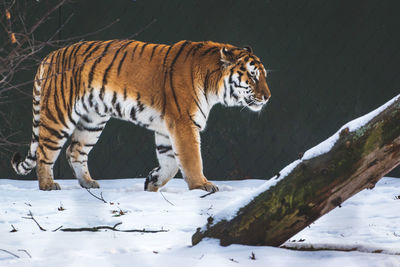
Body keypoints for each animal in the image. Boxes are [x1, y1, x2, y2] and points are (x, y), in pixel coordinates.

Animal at [10, 39, 270, 193]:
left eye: (263, 76)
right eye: (253, 76)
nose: (268, 97)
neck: (213, 84)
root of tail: (49, 56)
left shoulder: (168, 129)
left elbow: (170, 162)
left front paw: (153, 182)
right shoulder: (184, 124)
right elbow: (191, 159)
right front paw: (201, 185)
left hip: (92, 121)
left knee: (74, 150)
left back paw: (88, 183)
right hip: (59, 116)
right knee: (45, 152)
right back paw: (48, 185)